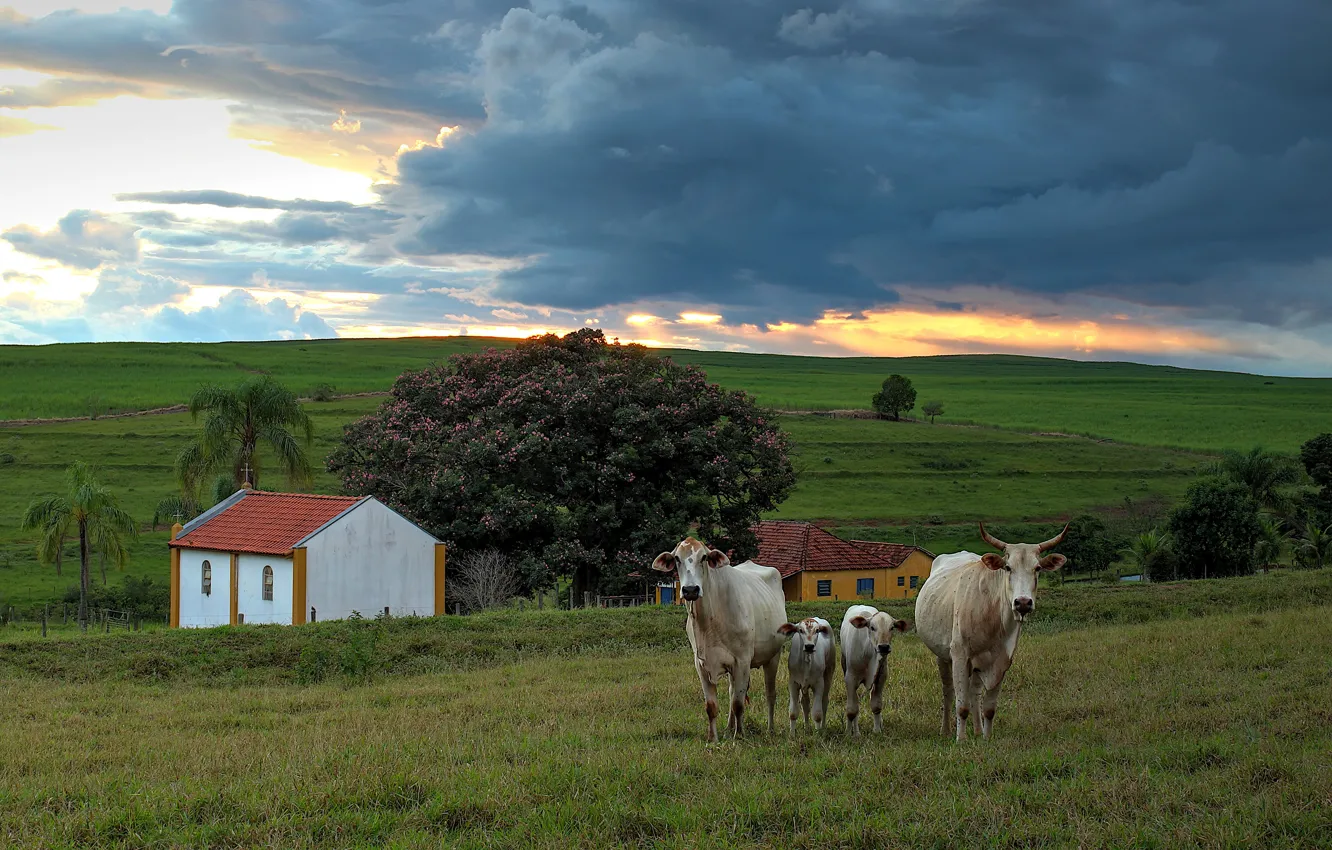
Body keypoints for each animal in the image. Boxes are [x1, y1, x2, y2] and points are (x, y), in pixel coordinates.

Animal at [651, 537, 789, 742]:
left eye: (704, 557)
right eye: (676, 558)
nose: (690, 590)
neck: (709, 621)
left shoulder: (742, 661)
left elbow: (738, 704)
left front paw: (739, 735)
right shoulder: (701, 664)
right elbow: (712, 706)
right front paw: (713, 738)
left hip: (773, 656)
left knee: (769, 694)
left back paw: (770, 729)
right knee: (733, 692)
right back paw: (729, 728)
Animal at [839, 604, 911, 736]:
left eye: (892, 627)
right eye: (872, 627)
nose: (884, 647)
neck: (868, 651)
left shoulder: (881, 677)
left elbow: (876, 706)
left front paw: (877, 730)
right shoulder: (850, 679)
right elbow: (852, 710)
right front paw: (848, 733)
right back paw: (856, 732)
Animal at [914, 522, 1068, 742]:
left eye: (1037, 568)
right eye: (1008, 567)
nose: (1023, 603)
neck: (991, 615)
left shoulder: (1002, 661)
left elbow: (988, 708)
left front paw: (986, 738)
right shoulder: (960, 655)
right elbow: (961, 706)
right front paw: (961, 739)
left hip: (977, 664)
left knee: (974, 692)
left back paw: (978, 731)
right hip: (942, 656)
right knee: (948, 690)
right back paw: (946, 730)